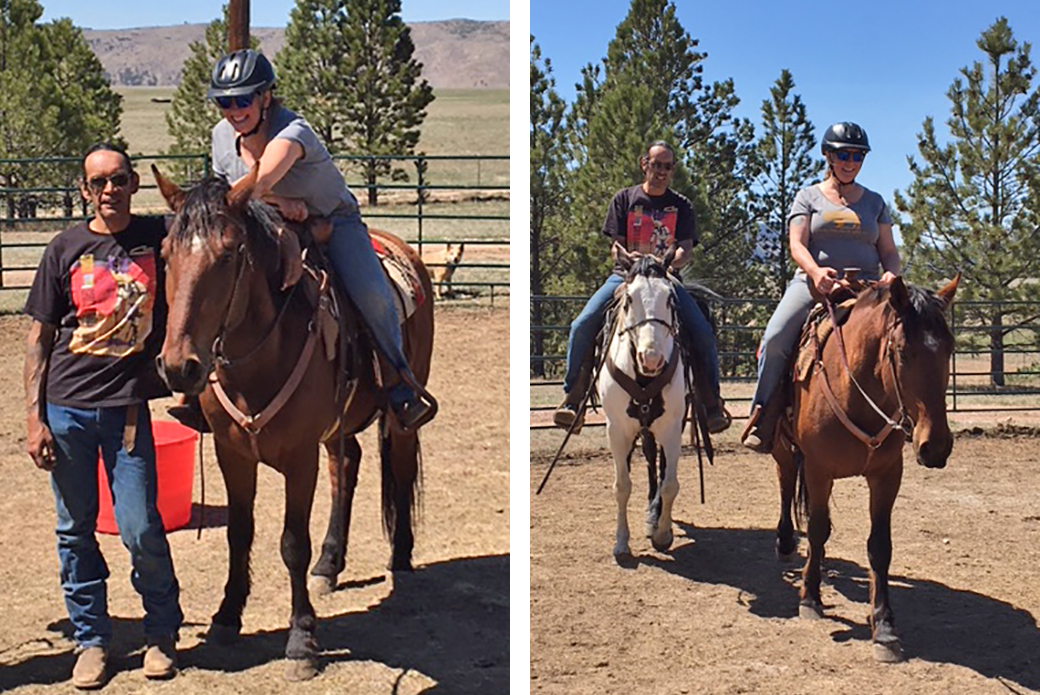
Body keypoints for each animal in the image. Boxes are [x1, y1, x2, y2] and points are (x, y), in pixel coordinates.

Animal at [149, 166, 430, 678]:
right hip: (337, 426)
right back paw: (330, 564)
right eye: (165, 254)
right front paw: (226, 615)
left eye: (229, 253)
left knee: (398, 472)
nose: (180, 367)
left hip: (402, 416)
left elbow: (292, 543)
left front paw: (302, 639)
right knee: (347, 466)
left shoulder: (300, 460)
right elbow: (240, 532)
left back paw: (399, 558)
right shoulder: (231, 453)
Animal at [599, 245, 686, 557]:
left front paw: (662, 533)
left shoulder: (672, 428)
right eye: (629, 298)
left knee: (657, 464)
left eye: (670, 297)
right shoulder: (617, 429)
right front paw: (621, 542)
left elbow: (670, 484)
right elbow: (622, 485)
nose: (651, 359)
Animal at [773, 272, 956, 661]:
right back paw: (785, 543)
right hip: (782, 447)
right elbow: (817, 529)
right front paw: (810, 599)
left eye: (949, 350)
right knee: (785, 482)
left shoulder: (886, 476)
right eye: (902, 351)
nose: (935, 447)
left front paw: (884, 627)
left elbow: (879, 546)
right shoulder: (818, 469)